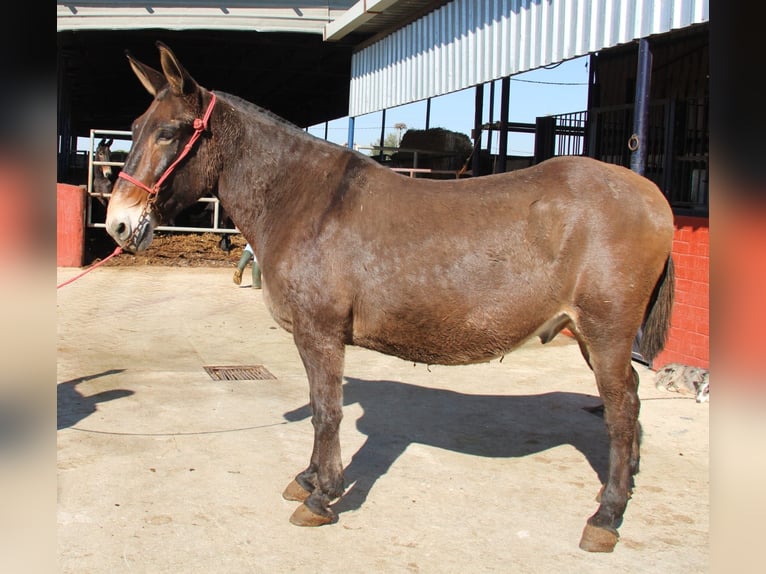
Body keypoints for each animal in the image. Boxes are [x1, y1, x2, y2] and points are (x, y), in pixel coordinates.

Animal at [105, 42, 675, 553]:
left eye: (169, 133)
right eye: (133, 129)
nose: (118, 225)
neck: (306, 202)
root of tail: (650, 194)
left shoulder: (321, 334)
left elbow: (327, 411)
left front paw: (323, 497)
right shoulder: (312, 338)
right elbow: (320, 405)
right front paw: (309, 479)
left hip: (606, 333)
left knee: (621, 410)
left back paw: (606, 517)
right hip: (591, 336)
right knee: (630, 402)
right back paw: (619, 490)